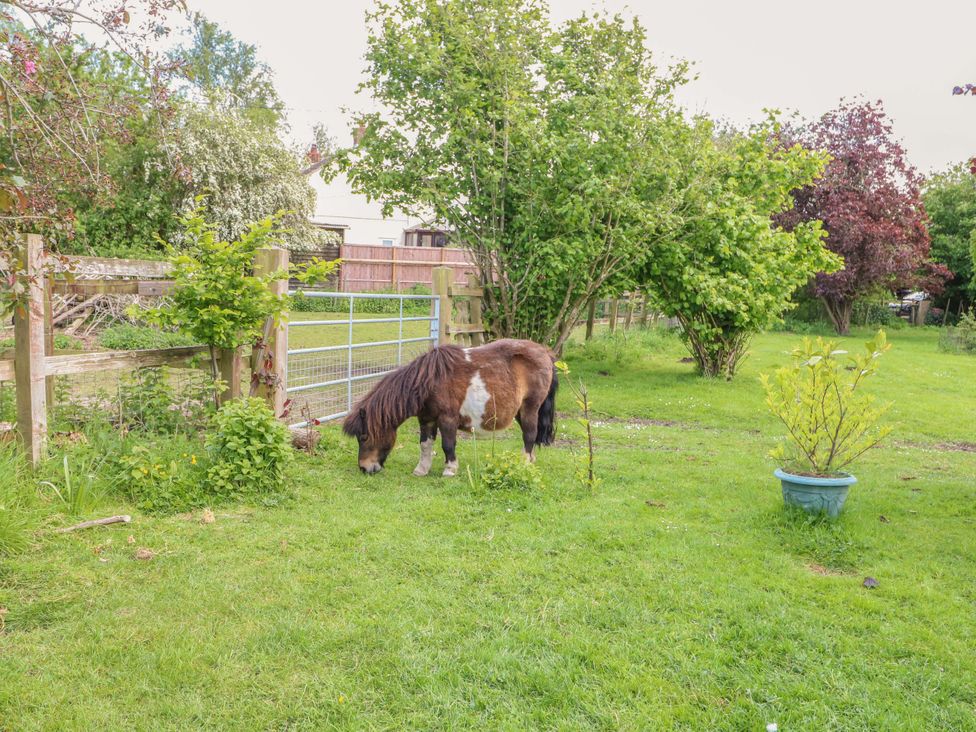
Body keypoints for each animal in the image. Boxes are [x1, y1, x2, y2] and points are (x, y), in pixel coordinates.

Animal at [342, 339, 558, 476]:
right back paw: (531, 461)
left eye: (364, 437)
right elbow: (425, 445)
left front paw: (450, 469)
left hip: (530, 408)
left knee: (529, 435)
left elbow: (448, 444)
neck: (429, 382)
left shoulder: (447, 418)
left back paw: (524, 464)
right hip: (520, 412)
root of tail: (545, 352)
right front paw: (421, 470)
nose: (364, 468)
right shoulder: (426, 419)